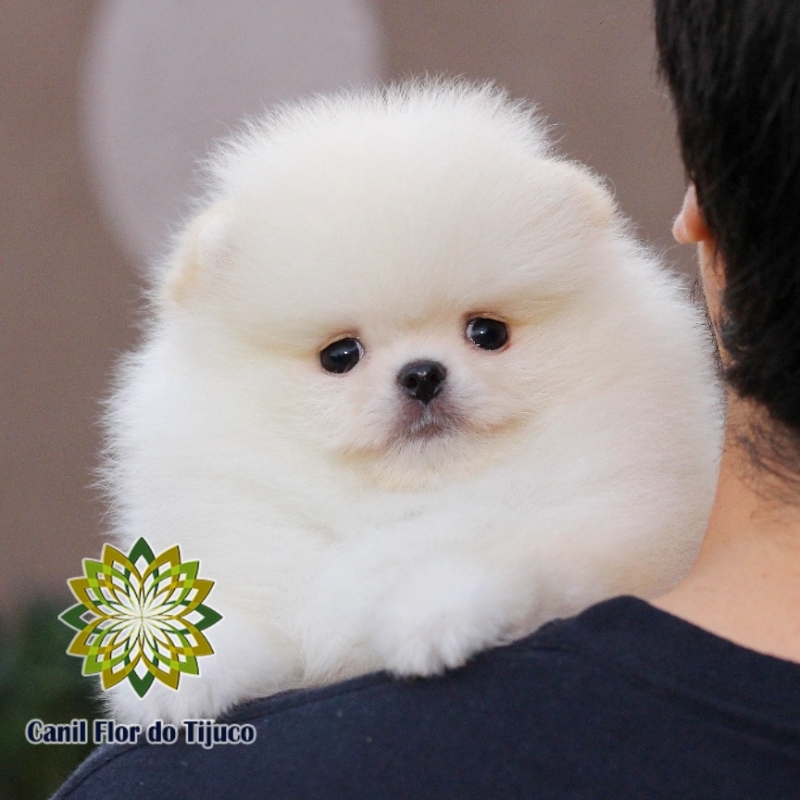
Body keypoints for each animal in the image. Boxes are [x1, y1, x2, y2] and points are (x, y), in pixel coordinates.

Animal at [103, 81, 720, 724]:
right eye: (340, 355)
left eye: (488, 333)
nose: (422, 375)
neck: (407, 502)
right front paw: (179, 673)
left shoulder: (612, 538)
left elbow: (509, 557)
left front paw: (430, 614)